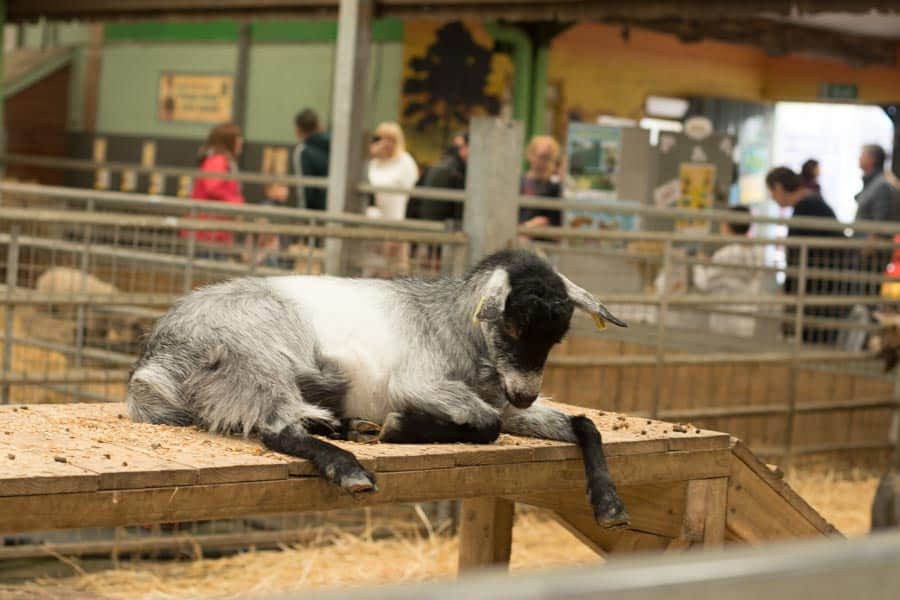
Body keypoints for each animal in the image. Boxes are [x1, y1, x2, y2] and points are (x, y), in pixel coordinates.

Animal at [127, 249, 630, 527]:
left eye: (557, 336)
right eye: (513, 323)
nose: (525, 394)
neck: (453, 325)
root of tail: (157, 355)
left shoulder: (503, 402)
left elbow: (584, 424)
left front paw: (609, 505)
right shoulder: (422, 384)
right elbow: (485, 425)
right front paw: (398, 427)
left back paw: (348, 427)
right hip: (253, 360)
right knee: (274, 428)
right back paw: (349, 466)